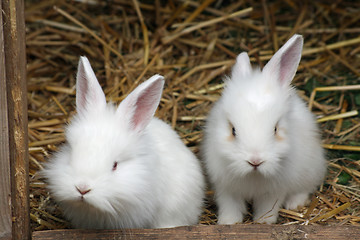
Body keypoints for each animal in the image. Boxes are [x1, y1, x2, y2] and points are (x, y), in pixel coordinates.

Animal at [202, 34, 326, 224]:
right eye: (233, 130)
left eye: (275, 129)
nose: (255, 161)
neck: (254, 175)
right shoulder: (226, 188)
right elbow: (230, 207)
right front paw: (228, 223)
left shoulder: (274, 191)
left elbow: (267, 209)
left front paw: (263, 223)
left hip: (310, 169)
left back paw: (294, 204)